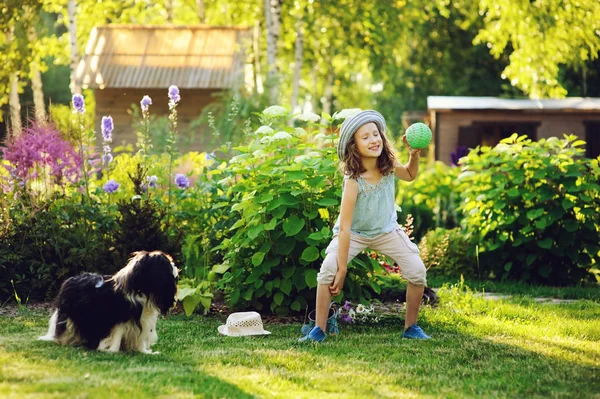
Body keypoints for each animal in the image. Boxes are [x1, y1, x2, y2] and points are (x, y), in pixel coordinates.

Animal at [39, 252, 178, 354]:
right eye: (166, 264)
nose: (175, 265)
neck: (141, 289)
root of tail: (72, 278)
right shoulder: (118, 319)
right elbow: (117, 334)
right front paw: (112, 351)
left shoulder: (143, 320)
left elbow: (140, 339)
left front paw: (143, 352)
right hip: (69, 315)